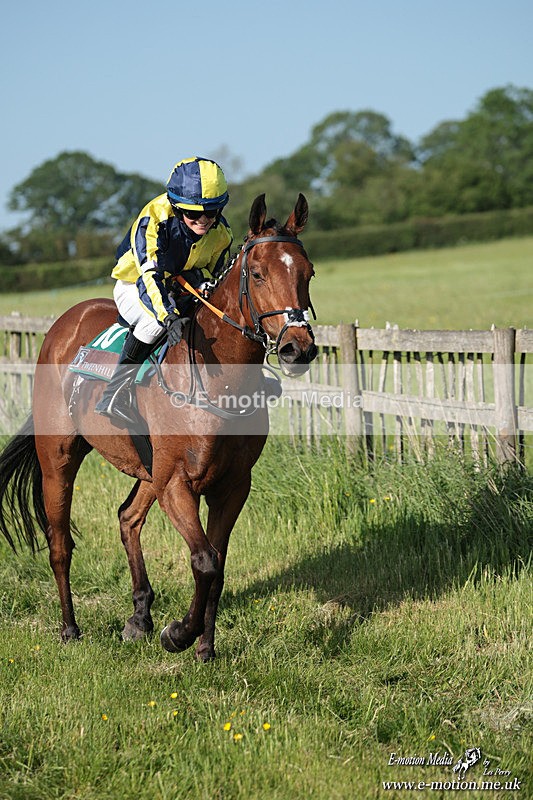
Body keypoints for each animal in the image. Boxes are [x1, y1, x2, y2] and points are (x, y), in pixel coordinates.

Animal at [0, 193, 317, 661]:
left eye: (307, 272)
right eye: (258, 274)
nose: (299, 348)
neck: (216, 382)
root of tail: (63, 324)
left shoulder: (232, 484)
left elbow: (217, 566)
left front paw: (205, 649)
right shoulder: (176, 482)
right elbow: (204, 560)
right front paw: (180, 634)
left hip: (147, 467)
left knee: (128, 518)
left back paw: (139, 617)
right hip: (59, 459)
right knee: (60, 544)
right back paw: (70, 629)